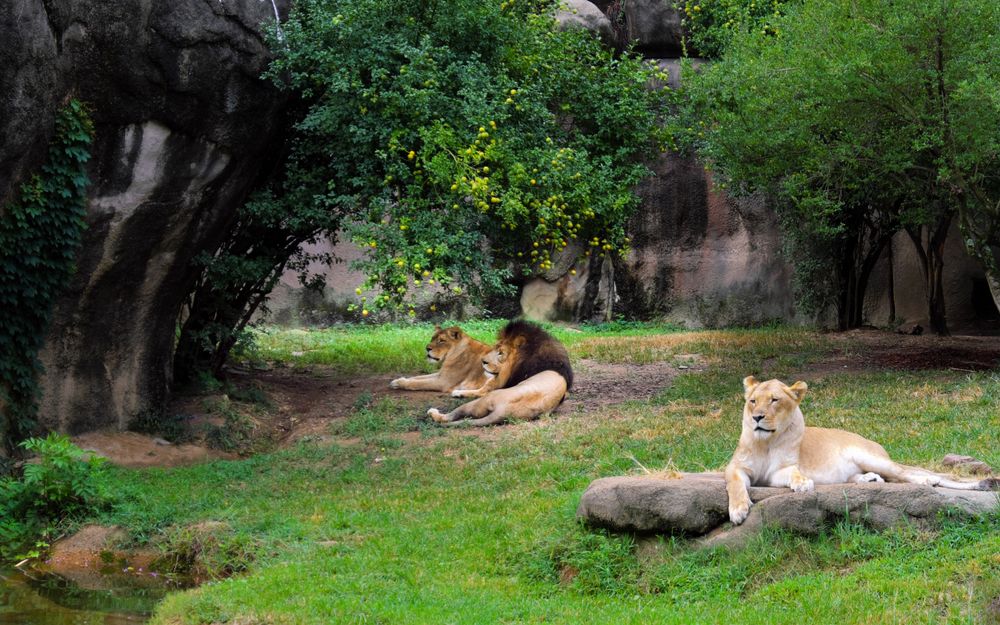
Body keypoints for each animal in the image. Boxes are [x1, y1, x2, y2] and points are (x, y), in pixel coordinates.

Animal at [427, 320, 573, 426]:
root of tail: (504, 411)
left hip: (482, 400)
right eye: (494, 348)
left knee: (449, 416)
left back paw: (434, 412)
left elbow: (481, 390)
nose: (483, 361)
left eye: (501, 353)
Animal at [725, 376, 998, 525]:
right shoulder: (738, 467)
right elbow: (736, 484)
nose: (757, 417)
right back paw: (870, 479)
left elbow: (794, 473)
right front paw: (738, 510)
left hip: (869, 456)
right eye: (752, 401)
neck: (766, 442)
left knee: (904, 473)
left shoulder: (782, 469)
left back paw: (927, 481)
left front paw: (802, 484)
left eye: (774, 400)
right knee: (883, 477)